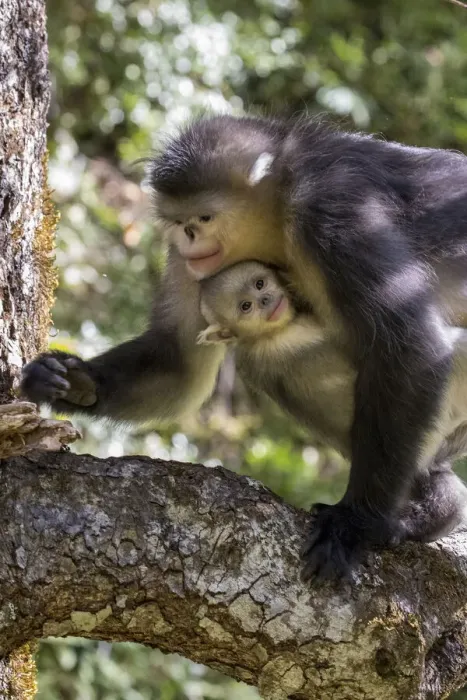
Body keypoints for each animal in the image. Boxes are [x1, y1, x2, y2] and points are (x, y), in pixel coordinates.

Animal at [21, 113, 467, 582]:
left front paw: (354, 525)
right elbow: (179, 365)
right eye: (179, 222)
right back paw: (438, 502)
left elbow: (409, 344)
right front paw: (73, 382)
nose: (190, 235)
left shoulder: (332, 211)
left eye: (204, 216)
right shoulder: (195, 263)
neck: (281, 203)